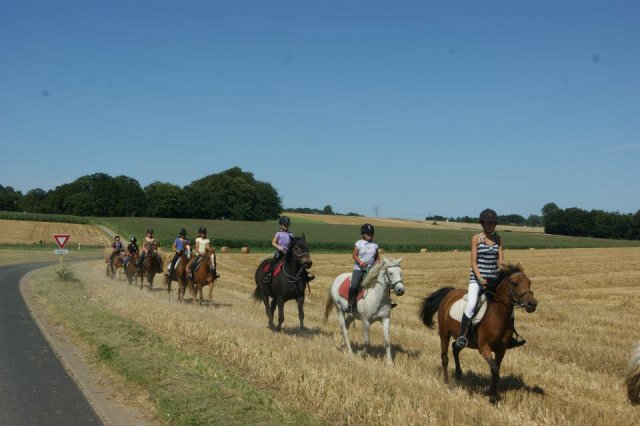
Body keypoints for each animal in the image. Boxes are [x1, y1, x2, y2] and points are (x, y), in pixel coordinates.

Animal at [418, 262, 536, 402]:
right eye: (514, 283)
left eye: (529, 282)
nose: (532, 304)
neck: (498, 314)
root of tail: (450, 294)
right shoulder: (484, 347)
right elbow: (495, 370)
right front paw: (490, 393)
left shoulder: (501, 349)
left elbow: (496, 370)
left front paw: (492, 393)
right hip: (444, 334)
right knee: (445, 357)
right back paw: (447, 382)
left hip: (465, 339)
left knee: (455, 347)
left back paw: (459, 374)